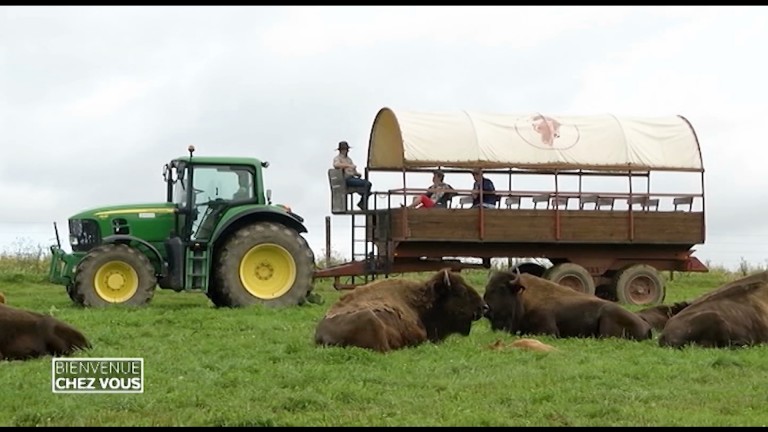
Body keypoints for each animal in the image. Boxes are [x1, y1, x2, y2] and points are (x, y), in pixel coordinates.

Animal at [484, 270, 652, 340]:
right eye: (487, 287)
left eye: (501, 288)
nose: (486, 308)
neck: (523, 298)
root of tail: (646, 325)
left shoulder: (548, 331)